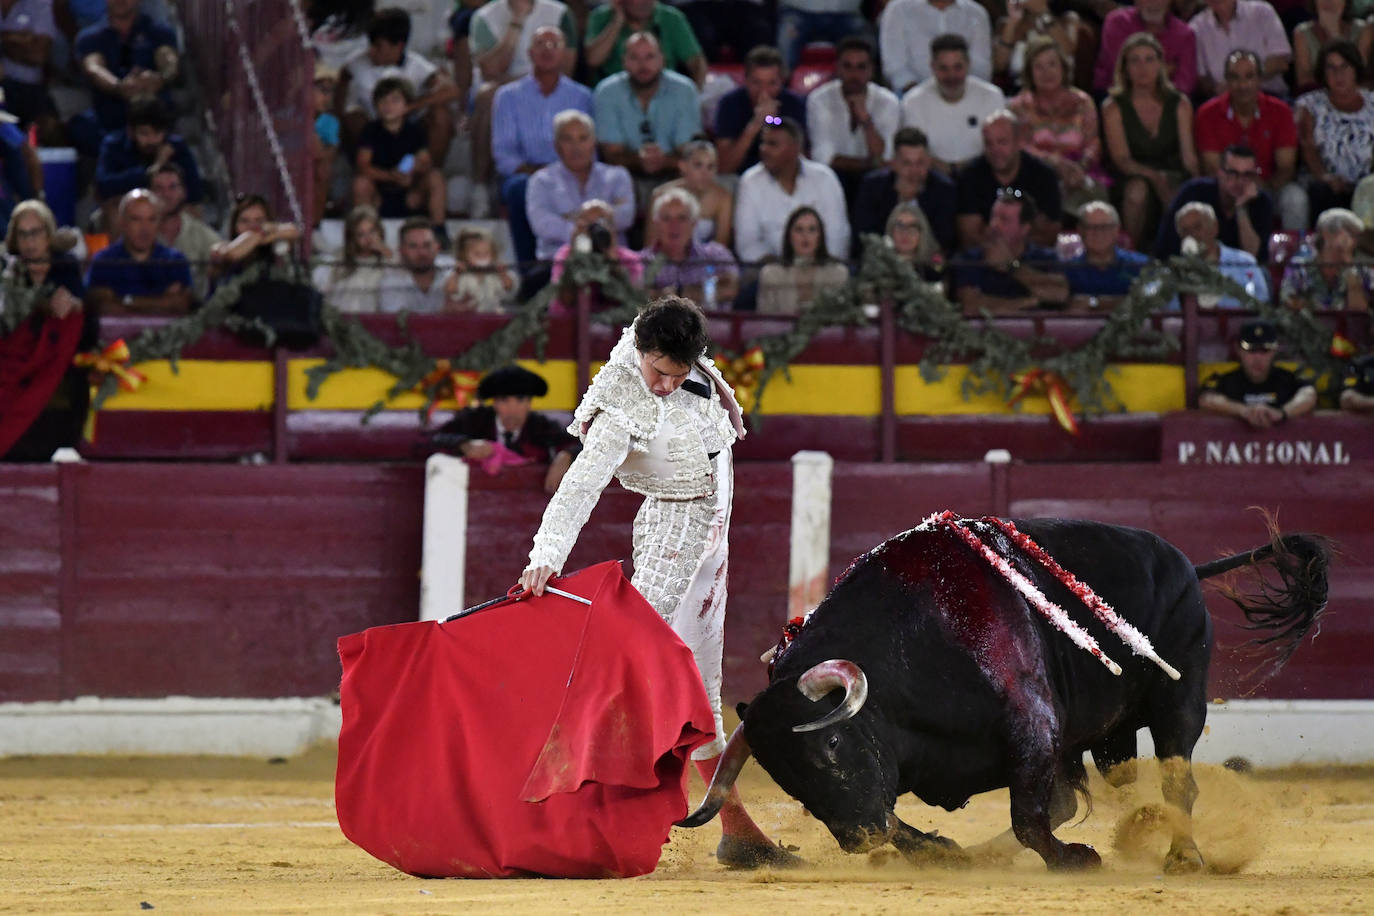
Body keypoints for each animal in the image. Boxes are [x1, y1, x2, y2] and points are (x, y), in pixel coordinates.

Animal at [681, 519, 1324, 873]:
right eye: (782, 775)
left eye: (833, 743)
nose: (857, 839)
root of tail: (1186, 562)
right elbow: (912, 820)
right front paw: (946, 852)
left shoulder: (1032, 725)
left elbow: (1028, 817)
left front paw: (1073, 860)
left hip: (1179, 701)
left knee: (1176, 780)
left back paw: (1182, 857)